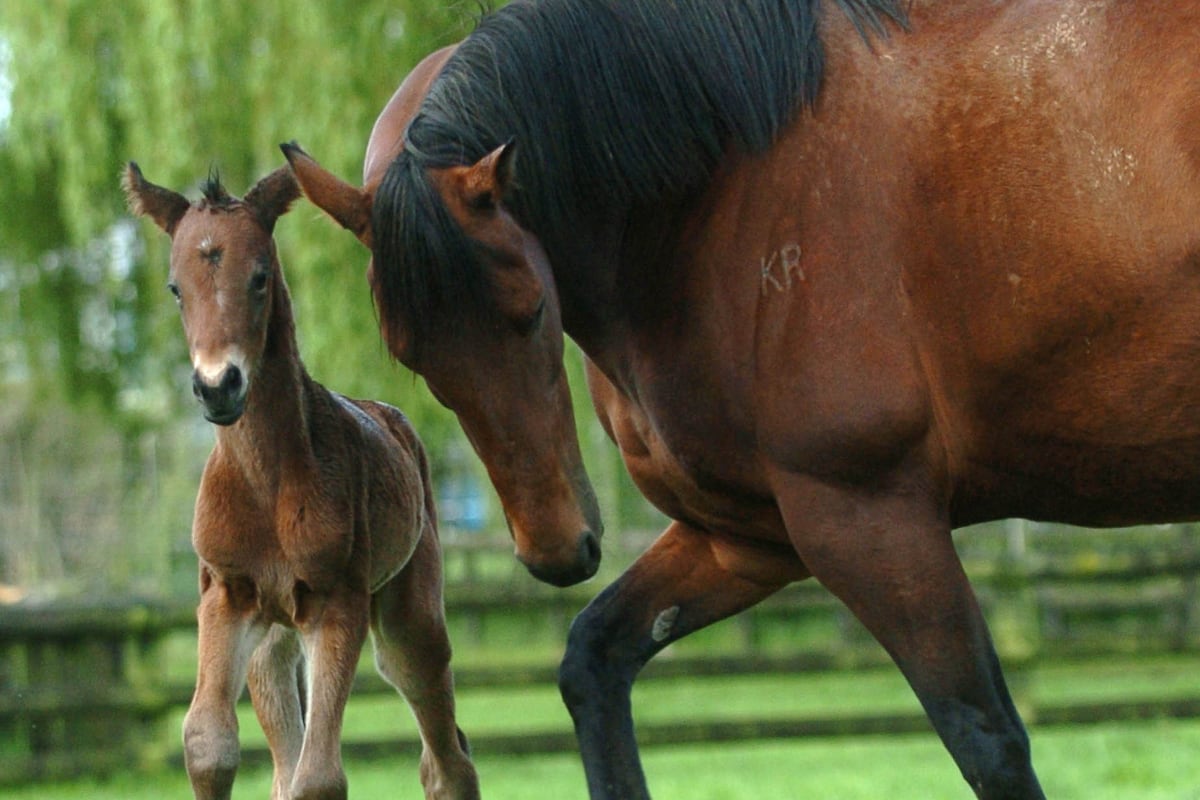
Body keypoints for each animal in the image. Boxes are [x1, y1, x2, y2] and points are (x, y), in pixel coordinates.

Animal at [122, 164, 479, 800]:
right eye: (175, 288)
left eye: (260, 276)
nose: (218, 386)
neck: (266, 486)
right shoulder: (226, 594)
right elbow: (209, 745)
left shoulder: (338, 603)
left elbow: (320, 777)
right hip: (272, 642)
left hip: (409, 622)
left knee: (446, 757)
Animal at [281, 1, 1200, 797]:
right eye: (411, 354)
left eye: (532, 309)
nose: (557, 552)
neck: (728, 187)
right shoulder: (748, 538)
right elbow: (592, 662)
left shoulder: (867, 519)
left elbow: (987, 739)